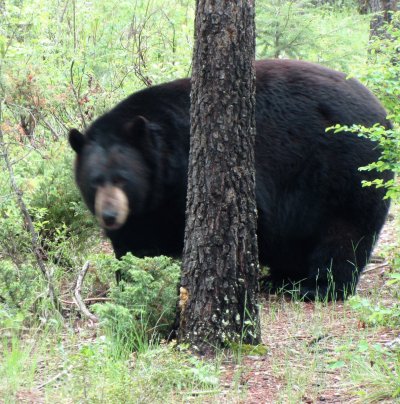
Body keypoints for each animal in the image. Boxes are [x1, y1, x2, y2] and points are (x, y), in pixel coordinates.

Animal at [69, 60, 390, 300]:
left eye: (122, 179)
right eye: (95, 181)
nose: (110, 215)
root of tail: (381, 112)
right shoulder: (144, 209)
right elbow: (131, 244)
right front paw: (127, 280)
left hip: (346, 173)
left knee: (343, 236)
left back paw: (316, 287)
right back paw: (281, 279)